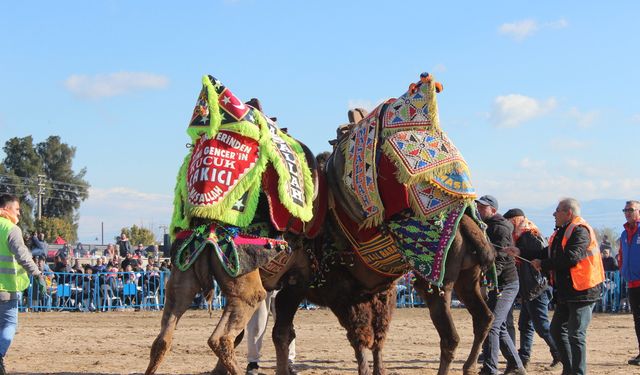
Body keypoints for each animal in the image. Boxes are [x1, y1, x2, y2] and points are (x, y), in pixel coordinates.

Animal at [272, 72, 498, 375]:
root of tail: (470, 229)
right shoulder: (376, 293)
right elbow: (375, 338)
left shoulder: (334, 291)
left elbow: (357, 338)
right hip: (467, 279)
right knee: (484, 318)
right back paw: (470, 366)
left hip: (437, 285)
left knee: (451, 336)